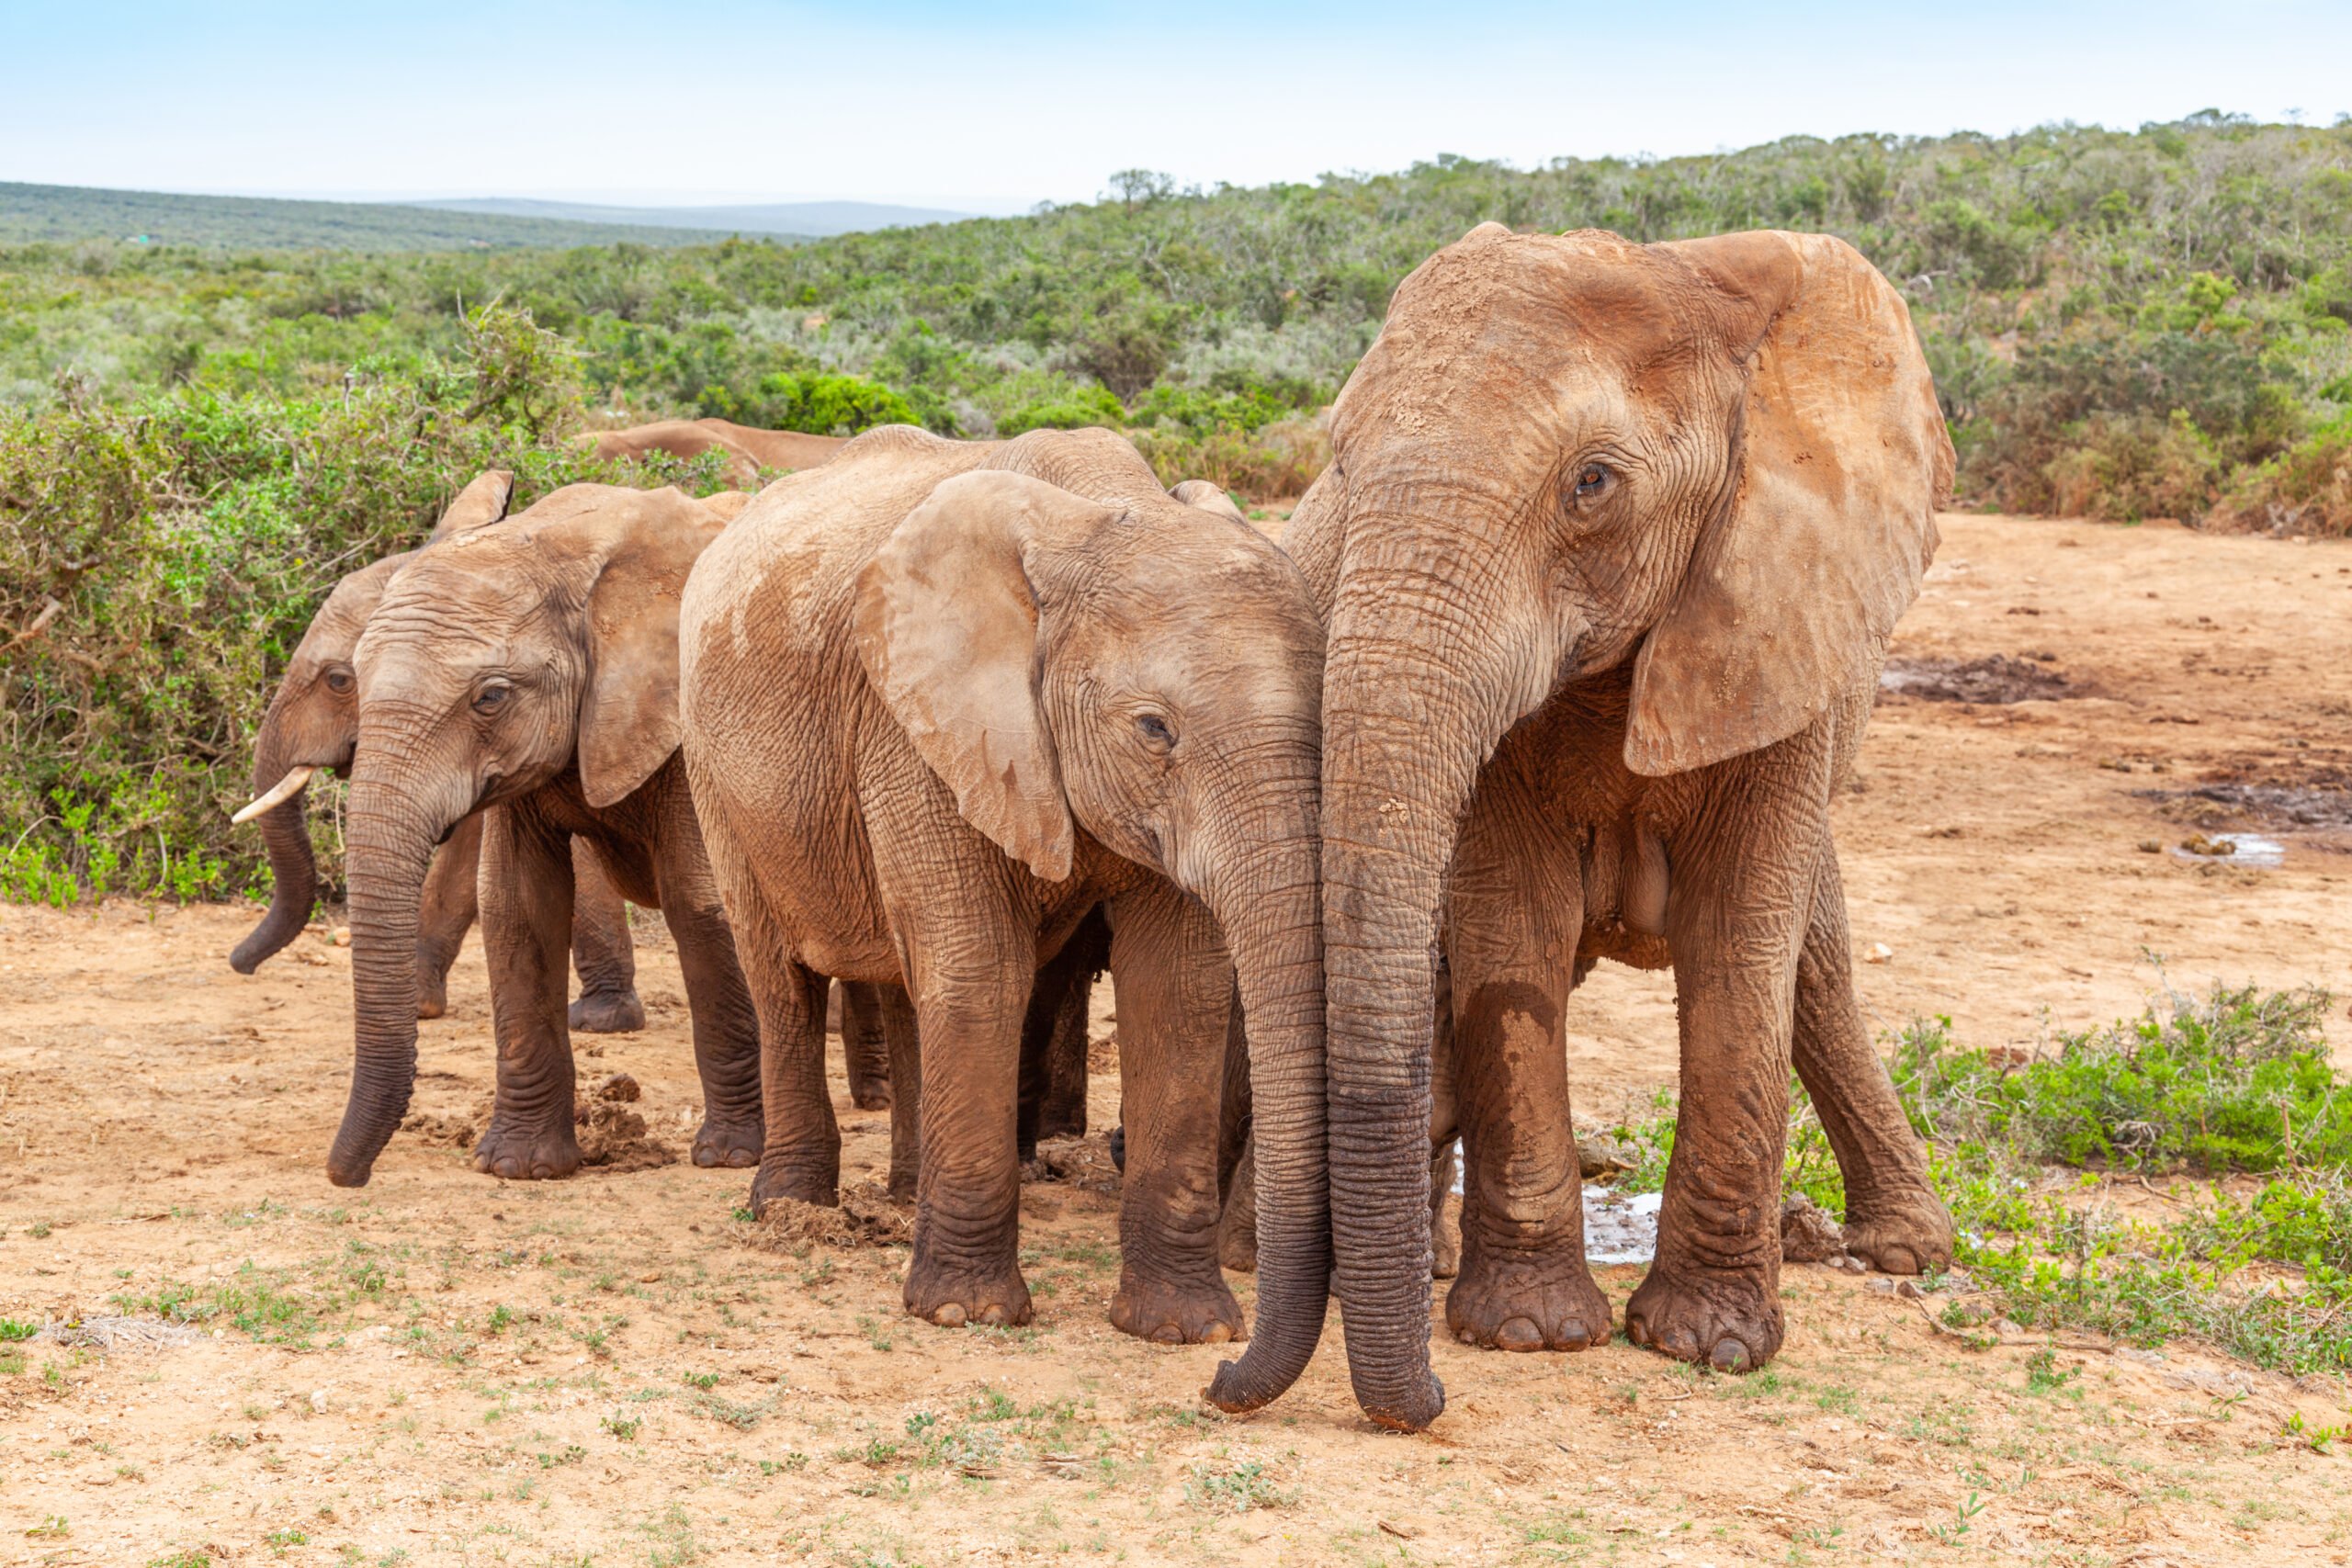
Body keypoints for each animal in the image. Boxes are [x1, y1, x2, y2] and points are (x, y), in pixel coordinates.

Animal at [320, 484, 762, 1184]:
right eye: (350, 682)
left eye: (491, 697)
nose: (345, 1176)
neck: (560, 550)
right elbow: (517, 904)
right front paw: (520, 1166)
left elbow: (704, 902)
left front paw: (731, 1156)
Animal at [682, 423, 1336, 1419]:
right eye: (1153, 729)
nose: (1224, 1387)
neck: (1098, 516)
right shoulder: (914, 724)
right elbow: (983, 970)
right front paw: (966, 1315)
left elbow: (1178, 990)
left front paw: (1184, 1330)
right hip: (718, 773)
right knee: (781, 975)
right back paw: (788, 1212)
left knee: (909, 982)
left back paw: (901, 1199)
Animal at [1298, 223, 1956, 1438]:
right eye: (1342, 468)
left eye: (1591, 484)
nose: (1424, 1405)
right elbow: (1510, 937)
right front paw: (1528, 1330)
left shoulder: (1779, 614)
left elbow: (1742, 946)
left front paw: (1711, 1346)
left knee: (1818, 964)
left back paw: (1905, 1251)